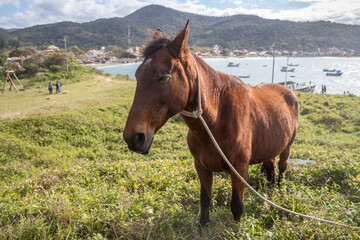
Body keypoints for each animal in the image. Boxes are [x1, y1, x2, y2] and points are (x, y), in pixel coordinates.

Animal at [124, 21, 298, 227]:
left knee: (281, 170)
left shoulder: (239, 169)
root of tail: (288, 91)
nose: (133, 137)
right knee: (270, 169)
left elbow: (237, 206)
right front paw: (203, 227)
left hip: (286, 149)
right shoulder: (202, 166)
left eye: (164, 77)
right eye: (137, 75)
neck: (217, 121)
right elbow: (205, 200)